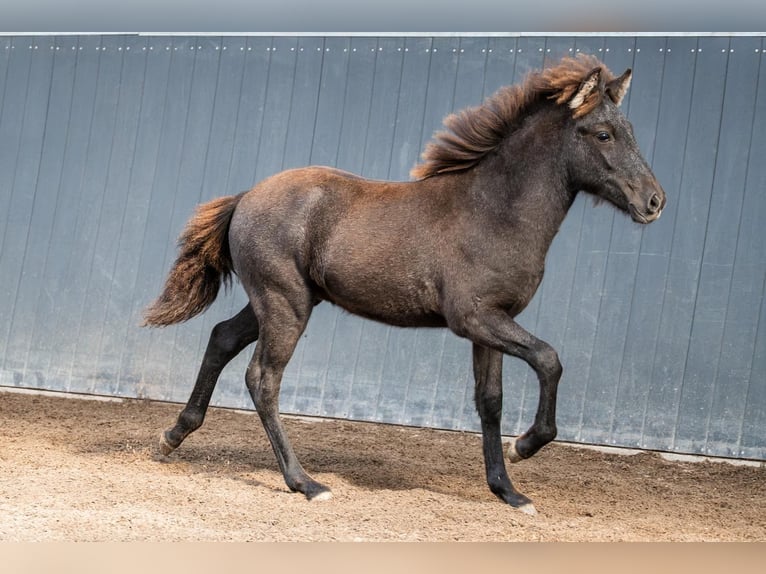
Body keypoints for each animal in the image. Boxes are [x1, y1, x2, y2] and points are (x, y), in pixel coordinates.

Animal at [143, 54, 666, 514]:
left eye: (632, 131)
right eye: (603, 133)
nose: (654, 201)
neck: (495, 211)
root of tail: (246, 196)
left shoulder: (493, 323)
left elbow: (490, 402)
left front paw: (510, 492)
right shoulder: (473, 317)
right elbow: (549, 359)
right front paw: (526, 446)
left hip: (277, 301)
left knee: (221, 338)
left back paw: (172, 437)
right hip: (285, 303)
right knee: (263, 378)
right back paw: (306, 483)